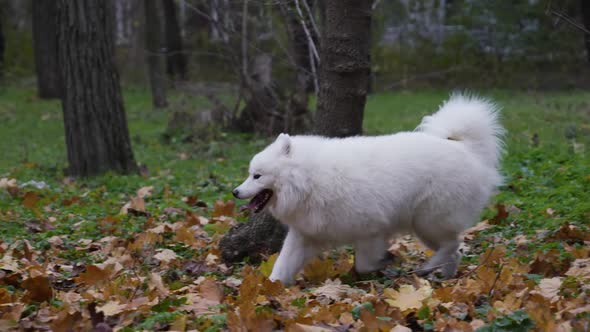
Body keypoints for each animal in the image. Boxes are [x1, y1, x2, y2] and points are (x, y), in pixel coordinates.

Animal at [234, 93, 506, 286]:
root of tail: (468, 150)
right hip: (426, 226)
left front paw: (384, 263)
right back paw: (444, 276)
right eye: (249, 174)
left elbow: (364, 264)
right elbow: (282, 265)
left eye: (257, 176)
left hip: (429, 220)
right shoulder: (305, 235)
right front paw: (271, 289)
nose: (235, 192)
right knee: (455, 249)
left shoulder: (371, 231)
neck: (309, 179)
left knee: (451, 245)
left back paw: (429, 267)